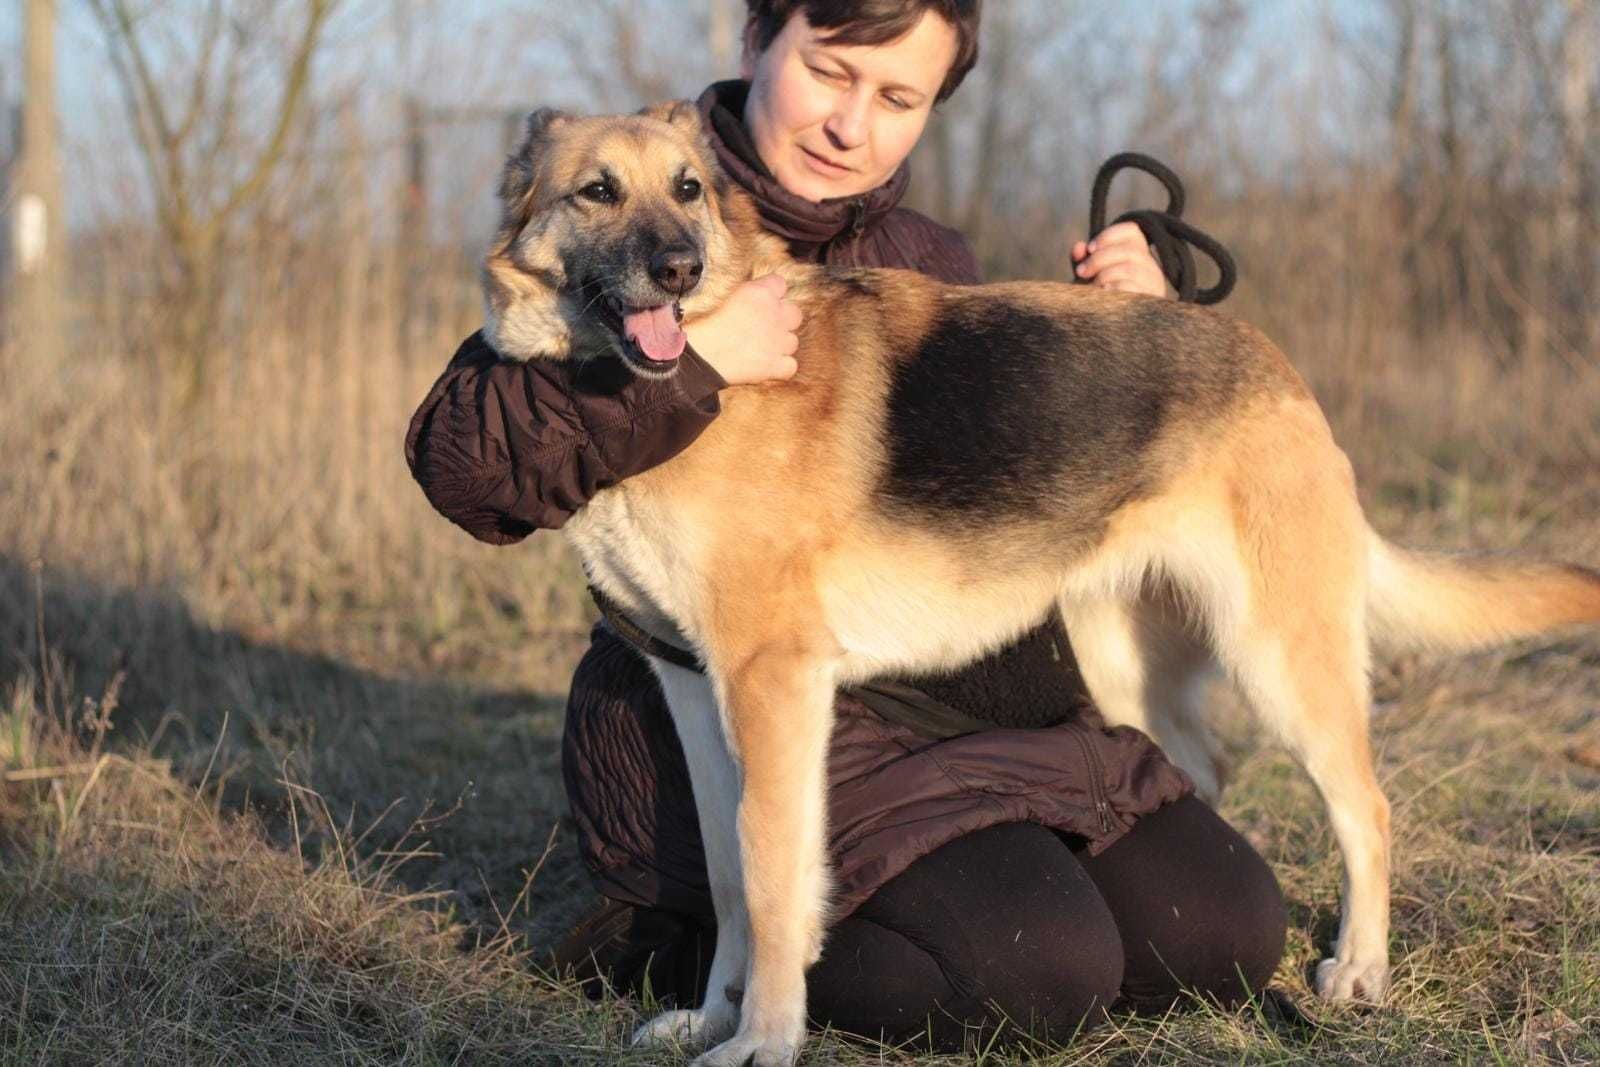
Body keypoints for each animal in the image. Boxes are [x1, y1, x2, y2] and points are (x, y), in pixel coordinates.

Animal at [480, 102, 1600, 1067]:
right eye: (597, 191)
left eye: (688, 189)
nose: (680, 267)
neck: (695, 380)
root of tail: (1279, 370)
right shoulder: (693, 688)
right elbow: (726, 875)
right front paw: (714, 1014)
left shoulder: (774, 688)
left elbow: (771, 873)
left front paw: (765, 1036)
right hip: (1126, 664)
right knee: (1209, 767)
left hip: (1281, 657)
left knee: (1365, 805)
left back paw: (1358, 966)